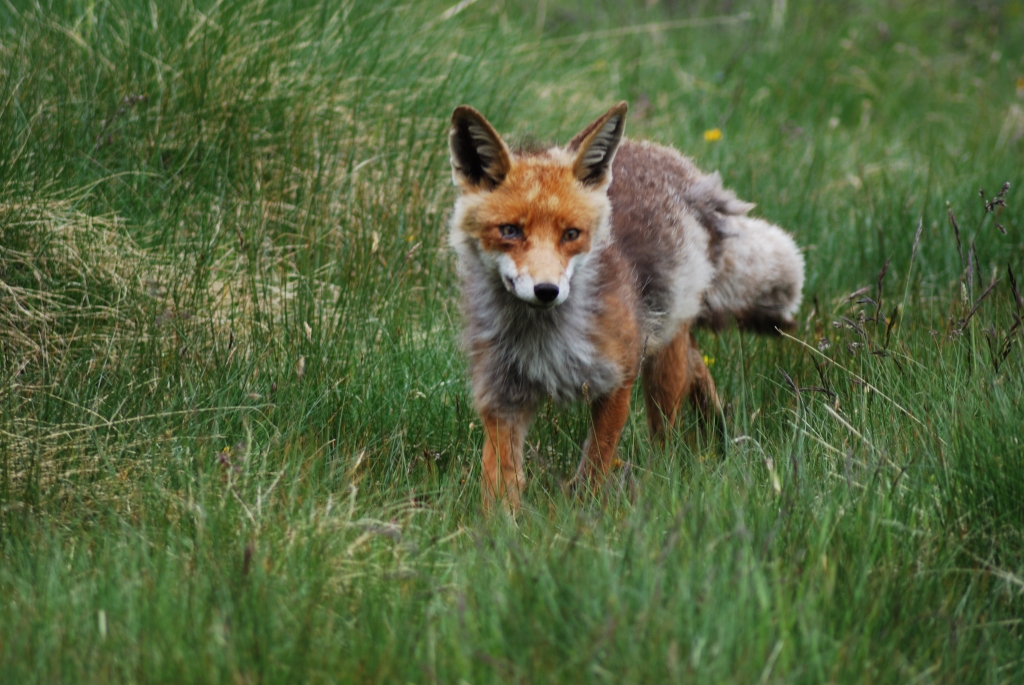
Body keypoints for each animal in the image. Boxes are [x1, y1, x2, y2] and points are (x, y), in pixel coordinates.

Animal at [447, 101, 804, 514]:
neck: (543, 340)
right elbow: (499, 481)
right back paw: (719, 433)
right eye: (510, 231)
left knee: (667, 432)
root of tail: (665, 156)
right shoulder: (500, 393)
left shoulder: (618, 378)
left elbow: (595, 466)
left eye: (571, 234)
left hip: (662, 363)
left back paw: (673, 471)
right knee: (698, 368)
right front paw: (500, 527)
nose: (547, 290)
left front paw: (580, 517)